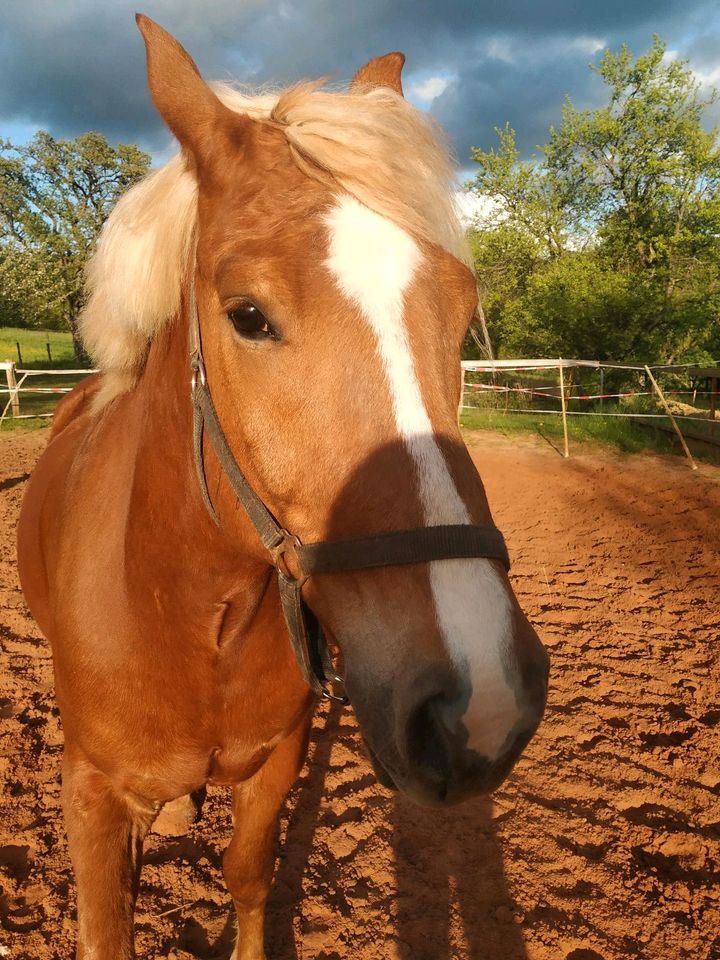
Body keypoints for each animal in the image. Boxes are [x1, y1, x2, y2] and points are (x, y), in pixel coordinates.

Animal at [15, 15, 544, 960]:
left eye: (458, 308)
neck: (191, 620)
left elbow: (248, 875)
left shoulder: (276, 764)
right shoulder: (91, 799)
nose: (480, 703)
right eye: (248, 316)